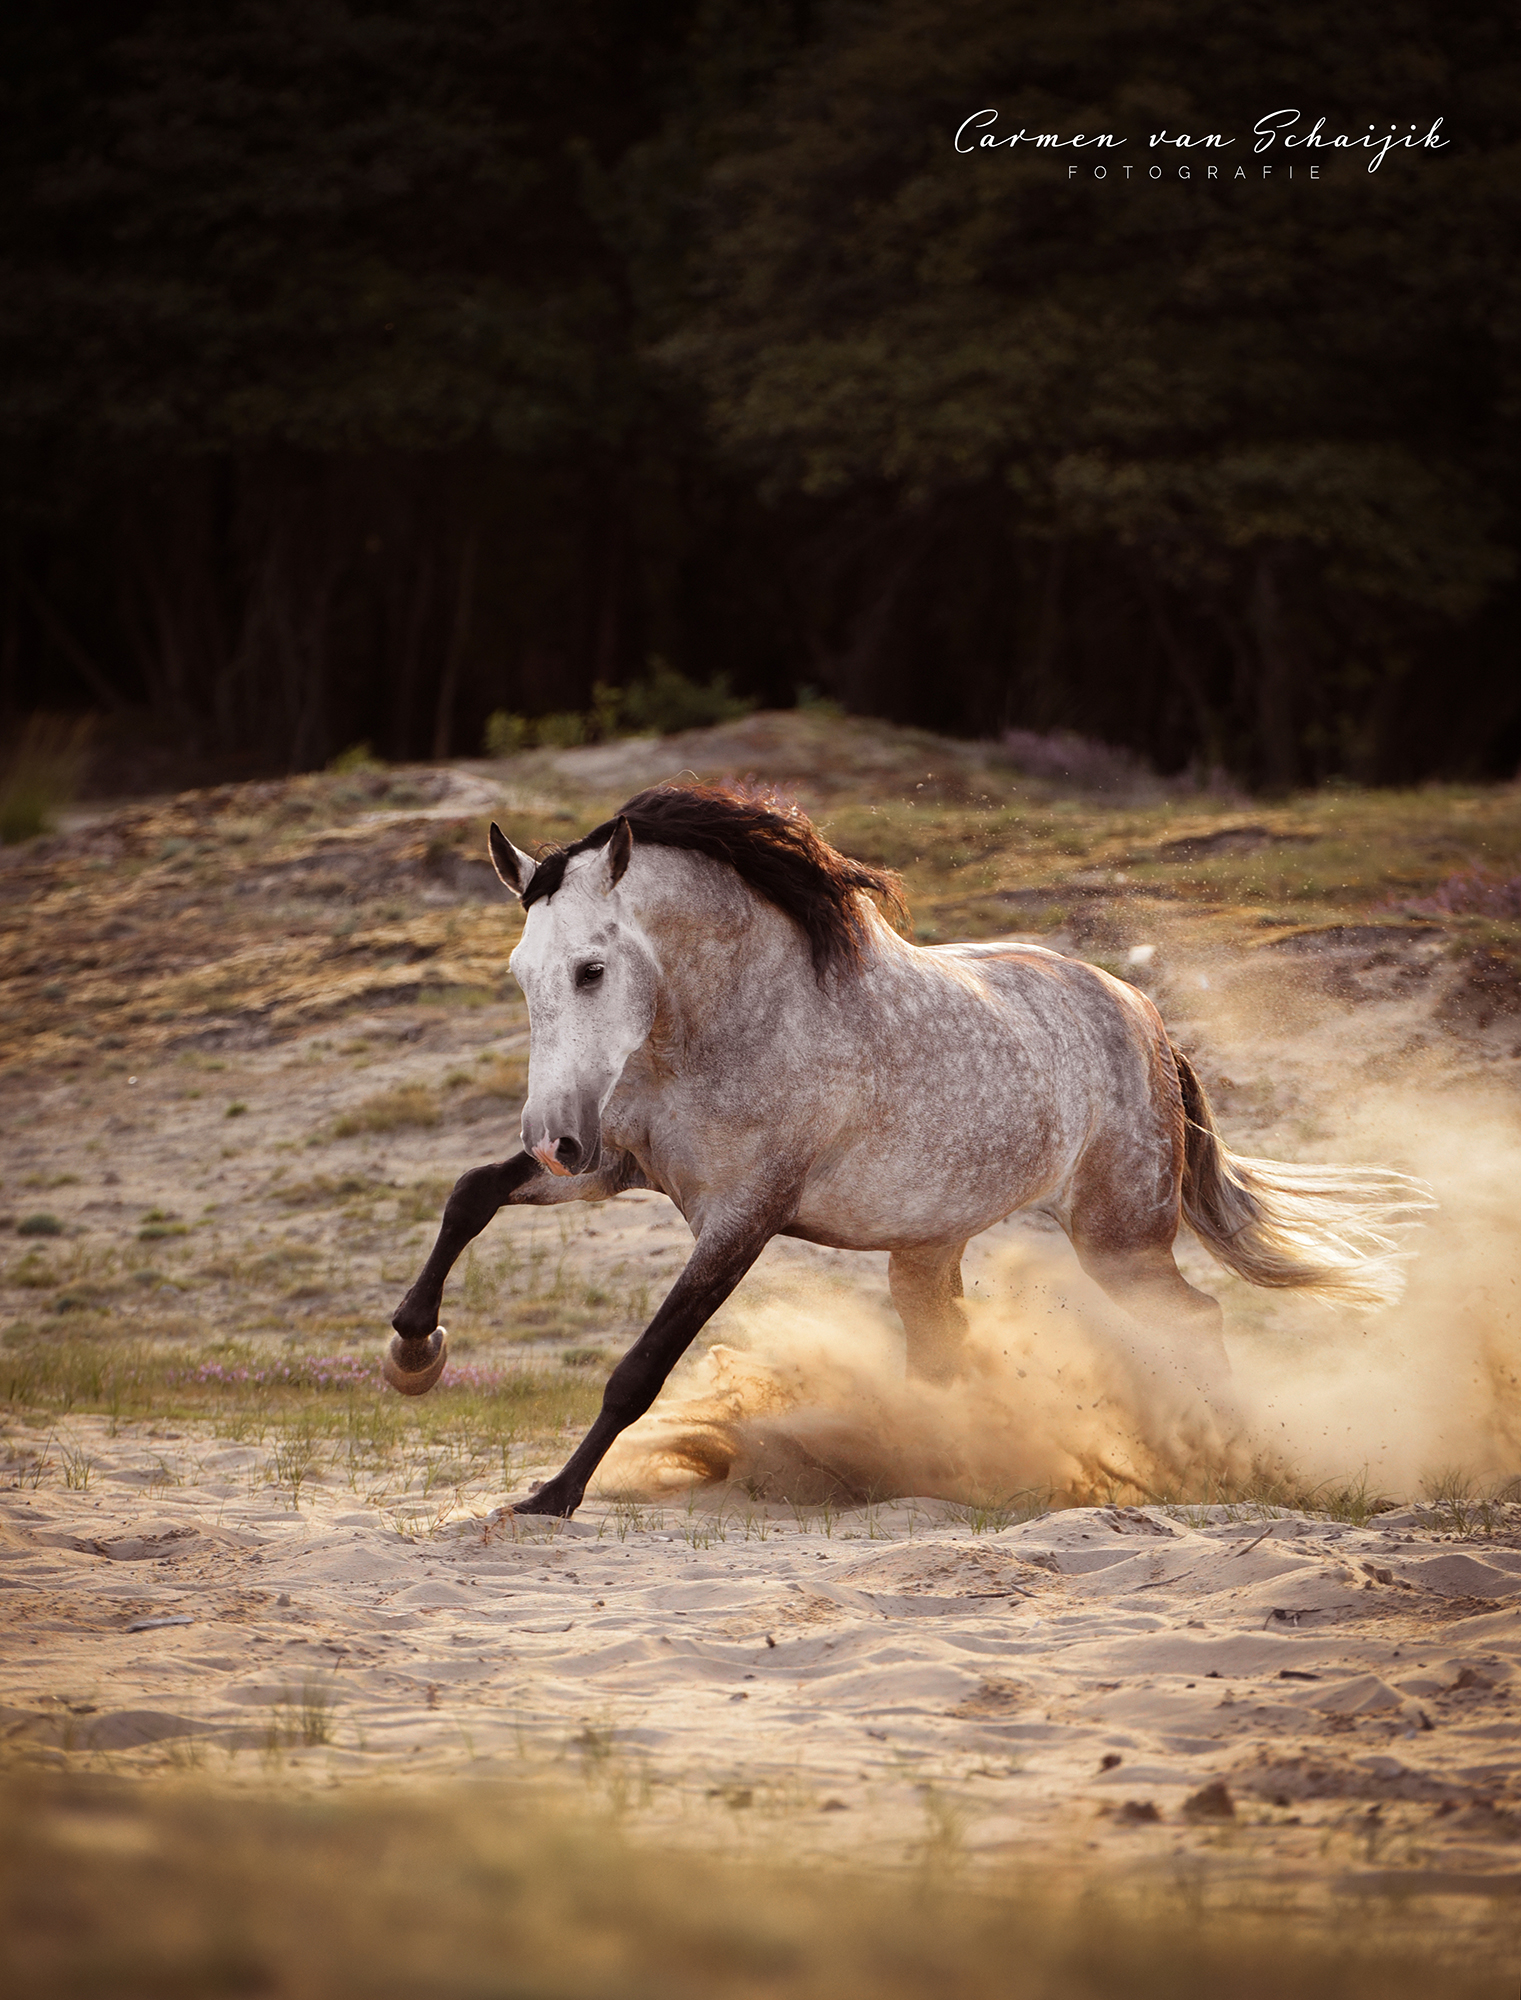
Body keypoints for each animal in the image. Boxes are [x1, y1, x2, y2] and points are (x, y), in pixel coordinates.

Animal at [382, 783, 1428, 1517]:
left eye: (591, 969)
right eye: (521, 973)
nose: (552, 1136)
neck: (728, 1023)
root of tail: (1144, 1015)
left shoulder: (741, 1217)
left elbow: (641, 1366)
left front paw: (551, 1496)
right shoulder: (617, 1166)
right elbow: (469, 1193)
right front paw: (413, 1354)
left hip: (1119, 1242)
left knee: (1195, 1322)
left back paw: (1231, 1463)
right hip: (927, 1254)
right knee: (950, 1358)